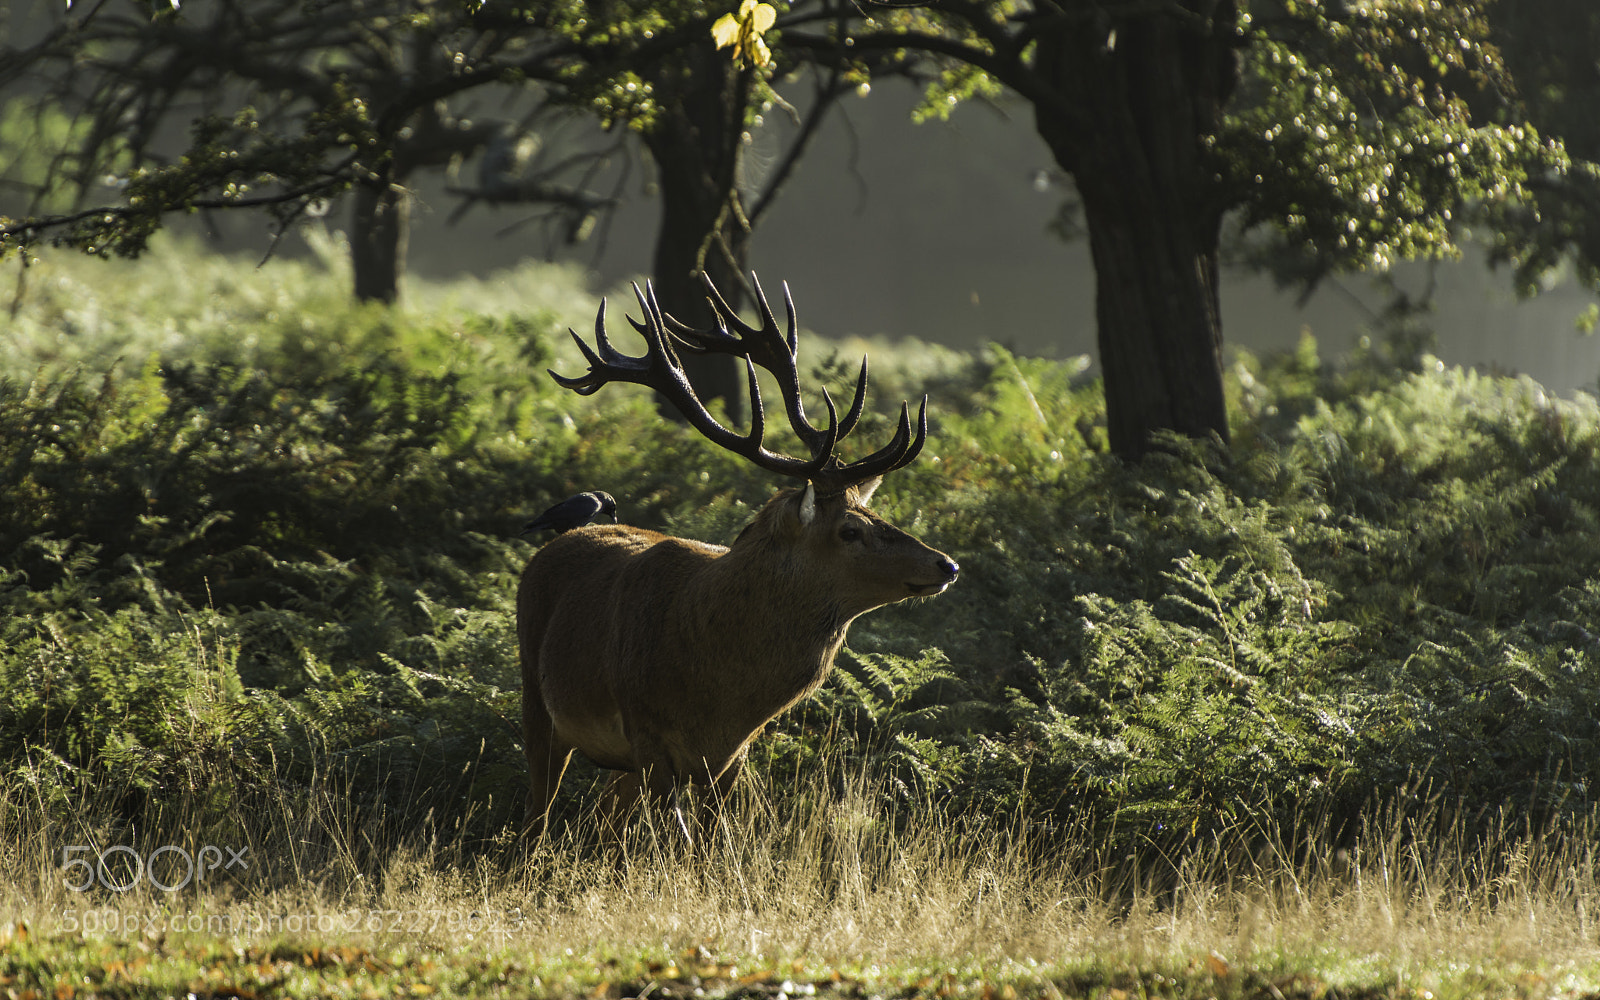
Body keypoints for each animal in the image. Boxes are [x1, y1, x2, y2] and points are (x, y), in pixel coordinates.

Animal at [517, 274, 960, 843]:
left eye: (873, 510)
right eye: (850, 529)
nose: (945, 565)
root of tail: (556, 541)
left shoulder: (731, 758)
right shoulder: (648, 735)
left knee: (602, 811)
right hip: (538, 697)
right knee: (538, 813)